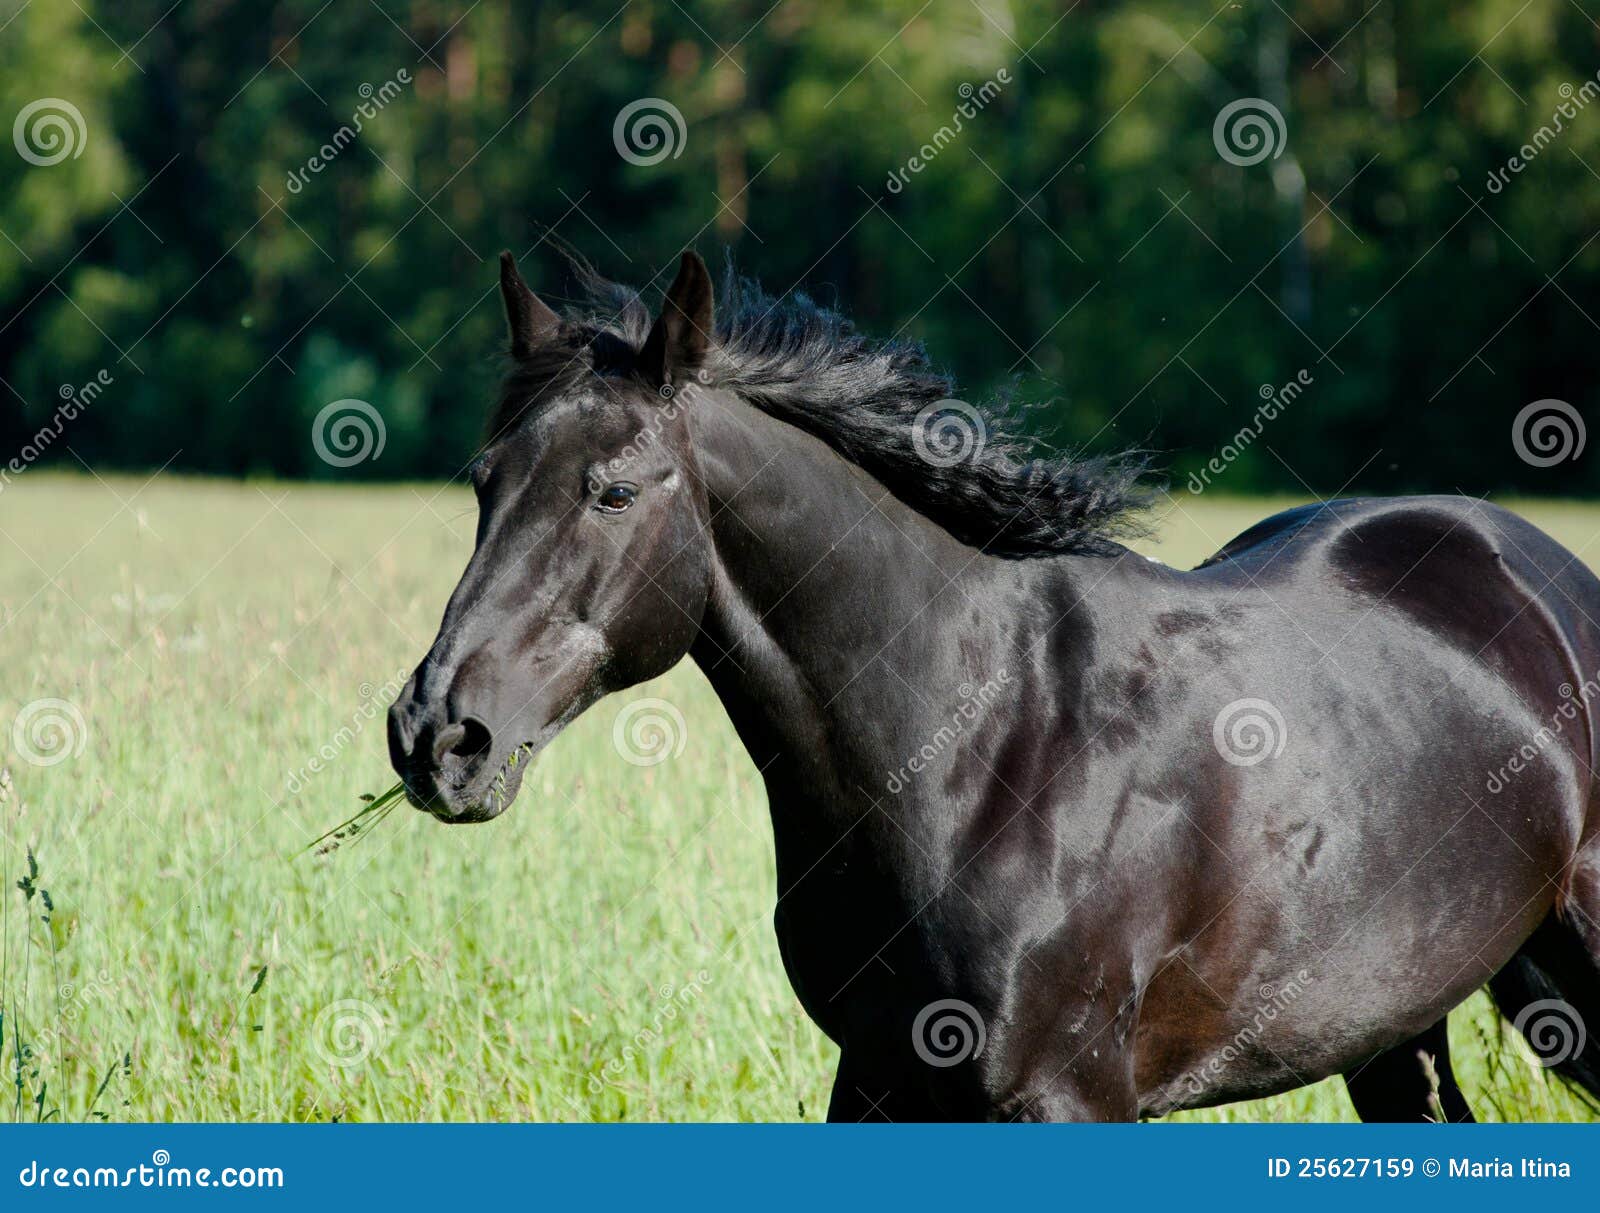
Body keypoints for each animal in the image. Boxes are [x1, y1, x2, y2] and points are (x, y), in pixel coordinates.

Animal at [388, 249, 1600, 1121]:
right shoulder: (880, 1081)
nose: (438, 736)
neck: (981, 746)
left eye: (615, 489)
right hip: (1392, 1028)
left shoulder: (1069, 1101)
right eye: (485, 480)